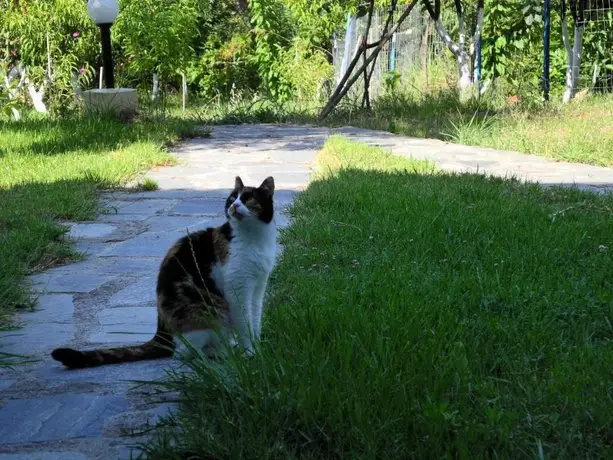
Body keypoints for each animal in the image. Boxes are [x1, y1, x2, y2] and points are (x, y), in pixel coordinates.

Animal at [52, 174, 278, 368]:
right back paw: (218, 356)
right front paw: (250, 353)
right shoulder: (238, 288)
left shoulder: (258, 286)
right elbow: (244, 323)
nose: (233, 205)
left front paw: (257, 346)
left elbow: (255, 318)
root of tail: (161, 330)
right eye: (232, 198)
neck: (255, 238)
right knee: (183, 352)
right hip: (208, 312)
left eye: (247, 199)